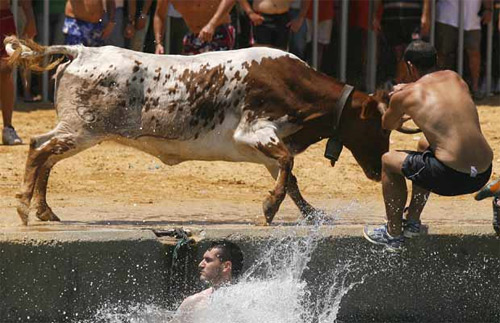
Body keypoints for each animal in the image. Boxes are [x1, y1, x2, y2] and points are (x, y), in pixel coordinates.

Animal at [4, 36, 414, 227]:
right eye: (377, 126)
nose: (378, 166)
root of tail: (82, 51)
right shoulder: (256, 134)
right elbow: (287, 165)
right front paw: (269, 207)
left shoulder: (266, 146)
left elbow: (290, 177)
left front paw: (312, 214)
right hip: (81, 129)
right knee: (39, 149)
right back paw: (25, 206)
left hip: (78, 130)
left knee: (47, 157)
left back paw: (45, 210)